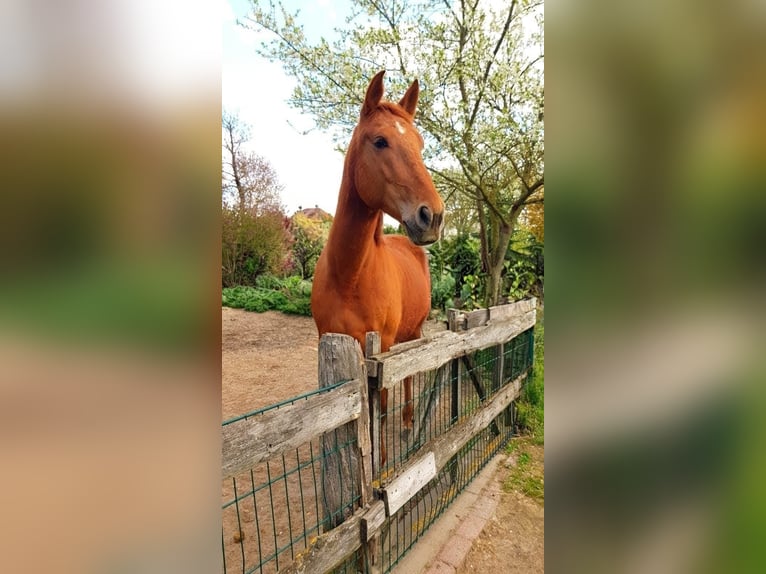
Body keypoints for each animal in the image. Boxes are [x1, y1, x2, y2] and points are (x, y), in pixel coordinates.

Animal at [311, 70, 445, 467]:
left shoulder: (380, 351)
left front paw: (381, 464)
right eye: (380, 141)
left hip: (413, 332)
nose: (432, 216)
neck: (349, 276)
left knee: (409, 377)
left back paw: (409, 424)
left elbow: (380, 410)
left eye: (420, 144)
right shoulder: (328, 343)